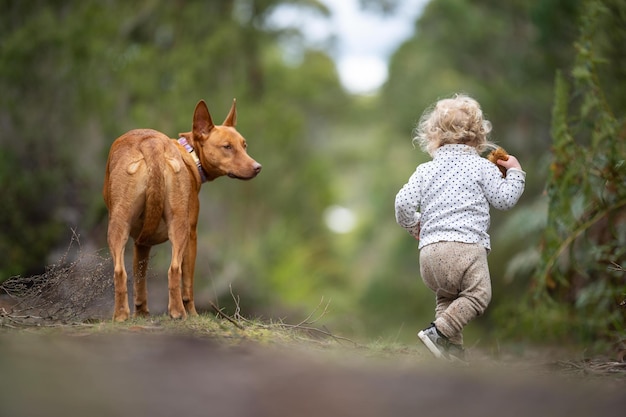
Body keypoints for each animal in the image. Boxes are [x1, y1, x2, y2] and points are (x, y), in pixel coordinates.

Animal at [103, 99, 260, 320]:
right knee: (175, 269)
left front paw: (141, 313)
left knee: (120, 271)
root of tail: (151, 144)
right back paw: (179, 312)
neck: (191, 154)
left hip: (120, 224)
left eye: (244, 145)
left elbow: (140, 281)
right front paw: (192, 313)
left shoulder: (141, 243)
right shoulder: (192, 234)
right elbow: (188, 283)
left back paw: (121, 315)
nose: (257, 167)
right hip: (180, 227)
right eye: (227, 147)